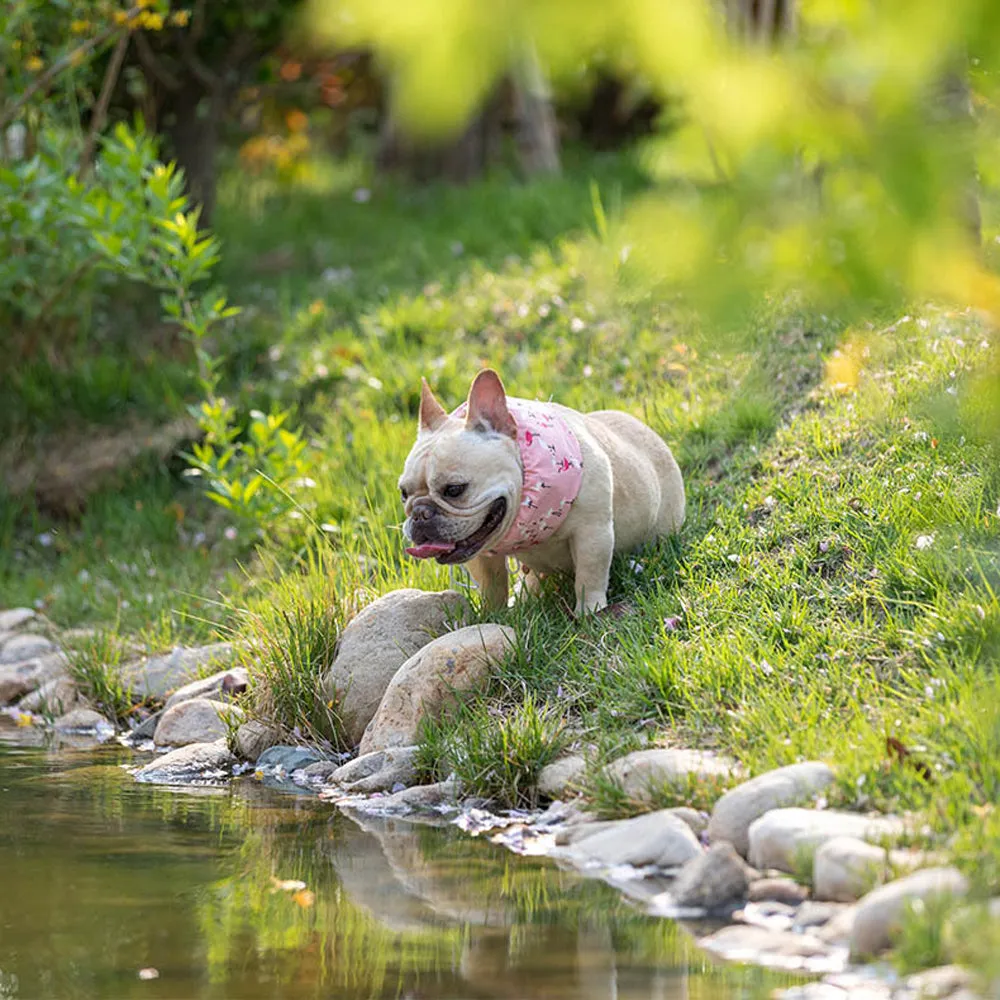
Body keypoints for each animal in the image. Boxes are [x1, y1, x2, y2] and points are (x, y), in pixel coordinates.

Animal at [398, 372, 688, 612]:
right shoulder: (479, 554)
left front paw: (589, 612)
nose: (420, 514)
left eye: (455, 490)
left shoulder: (593, 533)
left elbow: (589, 575)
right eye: (403, 493)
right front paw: (492, 616)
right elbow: (492, 585)